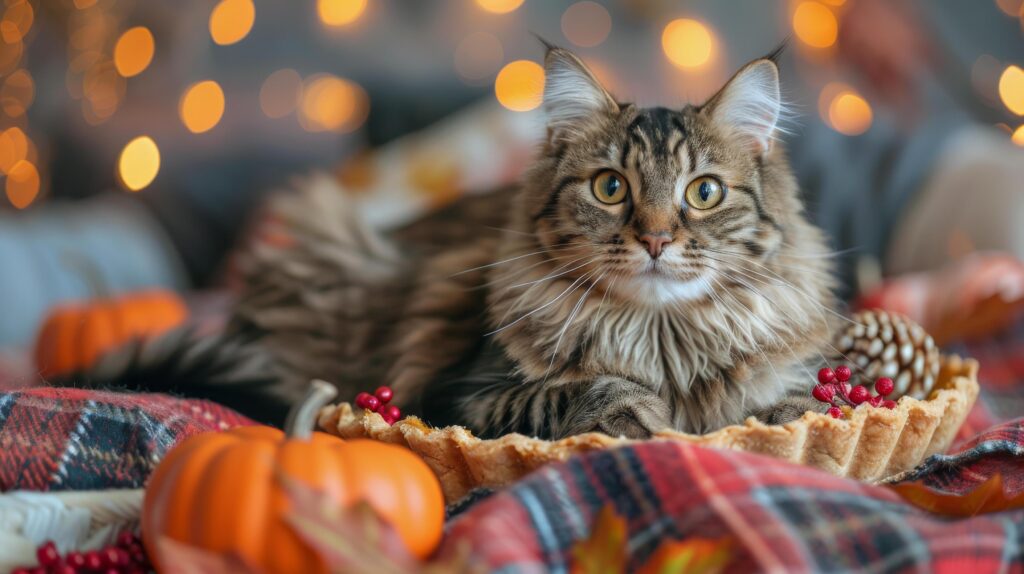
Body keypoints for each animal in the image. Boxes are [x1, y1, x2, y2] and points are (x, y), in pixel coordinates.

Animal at [75, 45, 835, 437]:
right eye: (610, 188)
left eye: (703, 193)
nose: (654, 239)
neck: (661, 336)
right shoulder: (455, 399)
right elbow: (572, 393)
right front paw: (643, 413)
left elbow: (798, 405)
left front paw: (789, 417)